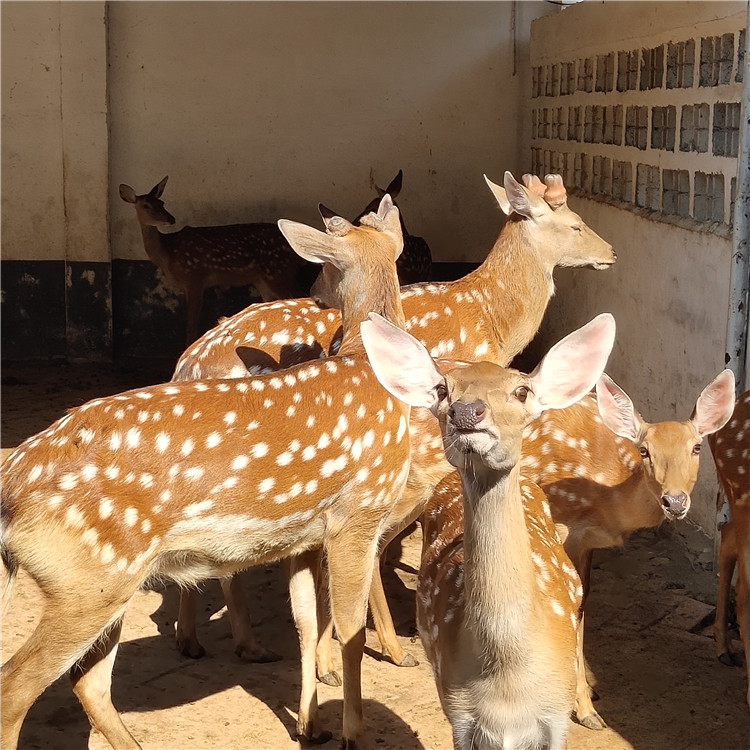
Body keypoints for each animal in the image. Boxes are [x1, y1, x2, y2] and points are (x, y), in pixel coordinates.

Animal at [0, 195, 412, 750]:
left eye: (323, 265)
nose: (311, 293)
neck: (369, 368)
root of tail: (10, 485)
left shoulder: (306, 537)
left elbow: (307, 620)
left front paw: (310, 726)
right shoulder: (360, 513)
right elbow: (351, 629)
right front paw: (353, 734)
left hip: (102, 582)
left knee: (86, 682)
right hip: (85, 579)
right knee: (16, 690)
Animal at [172, 172, 624, 688]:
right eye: (575, 224)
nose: (611, 252)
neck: (492, 319)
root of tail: (188, 361)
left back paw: (194, 639)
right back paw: (255, 645)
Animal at [360, 310, 616, 750]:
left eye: (522, 391)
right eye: (442, 389)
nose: (467, 412)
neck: (507, 677)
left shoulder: (555, 716)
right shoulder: (460, 714)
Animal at [520, 368, 736, 732]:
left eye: (696, 447)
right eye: (644, 450)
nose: (674, 501)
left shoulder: (584, 542)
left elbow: (581, 605)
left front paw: (587, 697)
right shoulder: (555, 520)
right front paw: (585, 710)